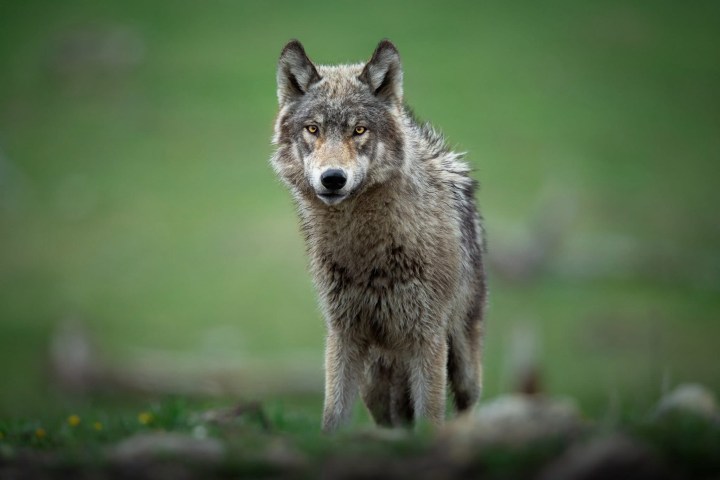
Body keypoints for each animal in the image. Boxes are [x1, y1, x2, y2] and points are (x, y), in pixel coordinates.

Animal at [271, 39, 487, 432]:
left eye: (359, 130)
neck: (367, 252)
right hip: (375, 381)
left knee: (465, 407)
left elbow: (431, 418)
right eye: (313, 129)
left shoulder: (427, 339)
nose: (333, 178)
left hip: (462, 361)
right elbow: (333, 416)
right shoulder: (343, 335)